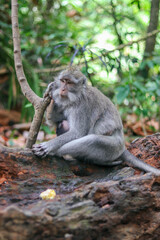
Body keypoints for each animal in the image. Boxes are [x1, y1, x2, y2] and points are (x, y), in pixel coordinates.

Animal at [31, 66, 160, 175]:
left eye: (69, 83)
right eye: (63, 81)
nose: (62, 89)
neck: (76, 97)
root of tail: (123, 145)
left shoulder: (81, 107)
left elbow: (77, 133)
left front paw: (48, 146)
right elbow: (54, 119)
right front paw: (50, 91)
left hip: (113, 147)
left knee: (93, 140)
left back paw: (57, 152)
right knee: (63, 123)